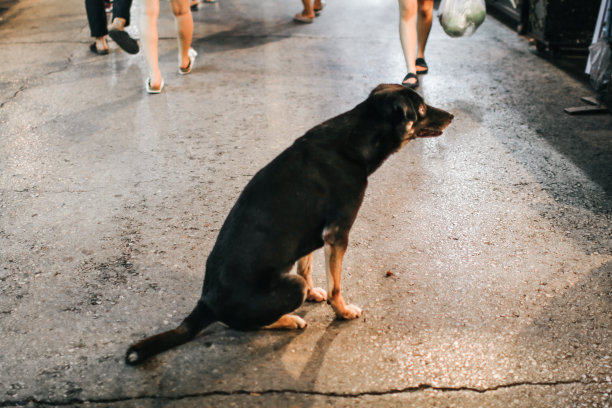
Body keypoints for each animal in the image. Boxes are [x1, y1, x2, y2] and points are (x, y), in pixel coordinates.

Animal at [126, 83, 454, 364]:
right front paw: (342, 311)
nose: (452, 116)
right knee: (244, 325)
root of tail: (206, 302)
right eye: (421, 108)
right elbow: (336, 287)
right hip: (284, 291)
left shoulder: (311, 235)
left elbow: (305, 266)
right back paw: (288, 319)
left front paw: (315, 293)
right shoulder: (337, 234)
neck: (356, 137)